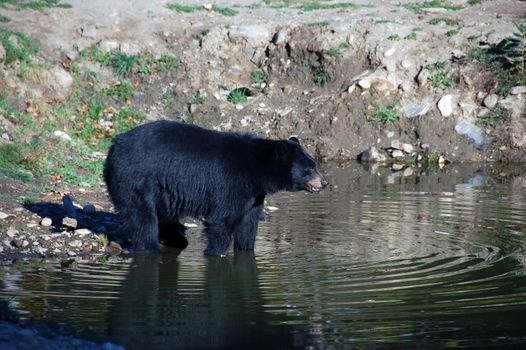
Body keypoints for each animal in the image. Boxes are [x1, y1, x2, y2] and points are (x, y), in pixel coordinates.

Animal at [102, 121, 326, 256]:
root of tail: (114, 145)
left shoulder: (253, 196)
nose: (324, 183)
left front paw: (246, 248)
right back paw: (150, 246)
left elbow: (248, 223)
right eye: (309, 168)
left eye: (315, 164)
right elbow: (221, 221)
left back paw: (175, 238)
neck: (257, 170)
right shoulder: (230, 184)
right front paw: (216, 252)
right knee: (142, 218)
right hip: (135, 179)